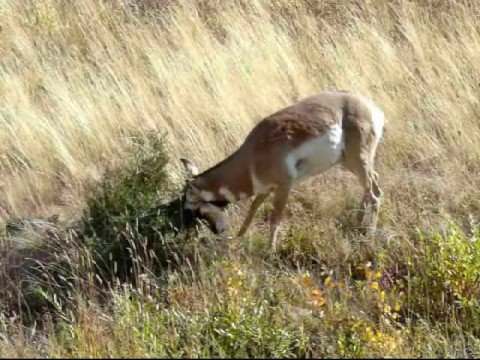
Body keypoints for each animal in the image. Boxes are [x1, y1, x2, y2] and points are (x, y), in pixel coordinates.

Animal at [181, 90, 386, 250]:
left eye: (190, 204)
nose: (187, 229)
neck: (252, 154)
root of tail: (371, 107)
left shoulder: (284, 187)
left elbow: (275, 219)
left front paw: (270, 250)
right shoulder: (266, 189)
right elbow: (253, 209)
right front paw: (238, 237)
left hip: (358, 160)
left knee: (374, 194)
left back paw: (369, 237)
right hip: (350, 163)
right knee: (372, 186)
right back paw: (358, 223)